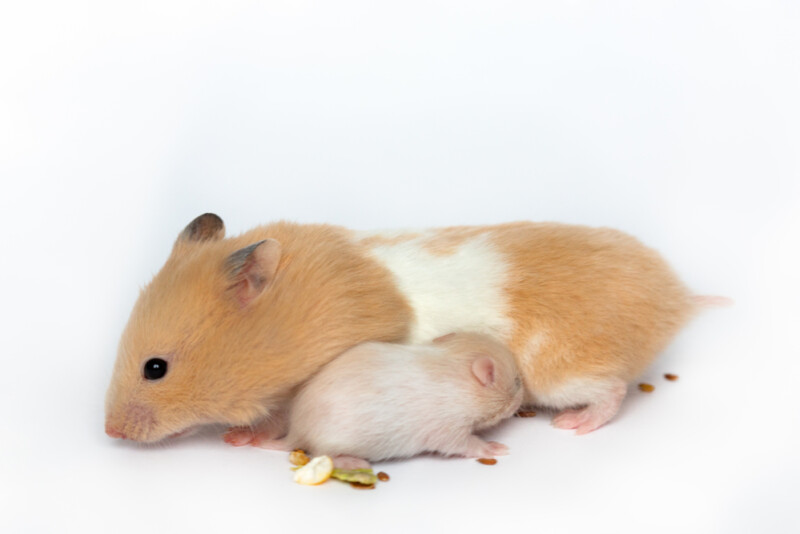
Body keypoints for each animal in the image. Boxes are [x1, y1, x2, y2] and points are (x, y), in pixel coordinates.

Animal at [106, 214, 708, 443]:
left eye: (155, 368)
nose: (111, 434)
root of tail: (679, 298)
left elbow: (276, 421)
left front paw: (238, 438)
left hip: (563, 373)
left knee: (610, 391)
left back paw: (573, 426)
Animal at [246, 333, 524, 466]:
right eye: (518, 382)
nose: (521, 399)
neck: (453, 364)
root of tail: (296, 433)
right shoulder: (448, 427)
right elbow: (463, 444)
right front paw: (491, 447)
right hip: (333, 444)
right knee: (323, 455)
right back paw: (350, 461)